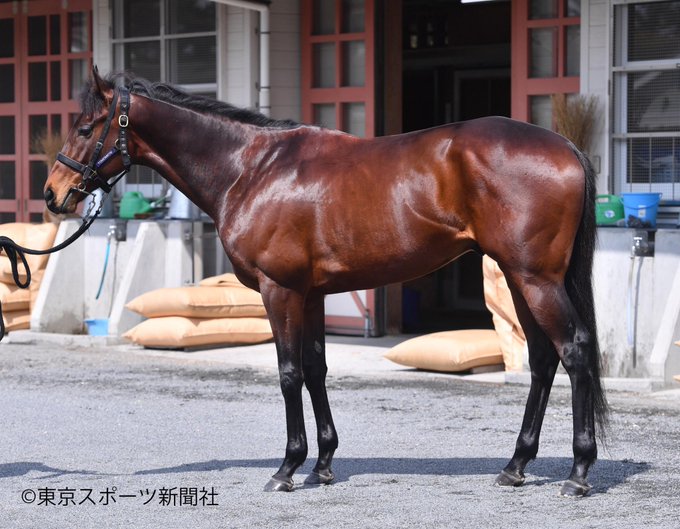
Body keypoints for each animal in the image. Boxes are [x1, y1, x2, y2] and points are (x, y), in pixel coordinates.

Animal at [44, 68, 608, 497]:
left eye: (86, 126)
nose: (53, 194)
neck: (251, 169)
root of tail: (565, 146)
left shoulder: (280, 291)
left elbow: (289, 372)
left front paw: (287, 468)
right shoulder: (311, 294)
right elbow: (316, 369)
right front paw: (323, 464)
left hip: (535, 279)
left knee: (575, 351)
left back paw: (578, 472)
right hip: (519, 277)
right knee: (542, 360)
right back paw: (515, 466)